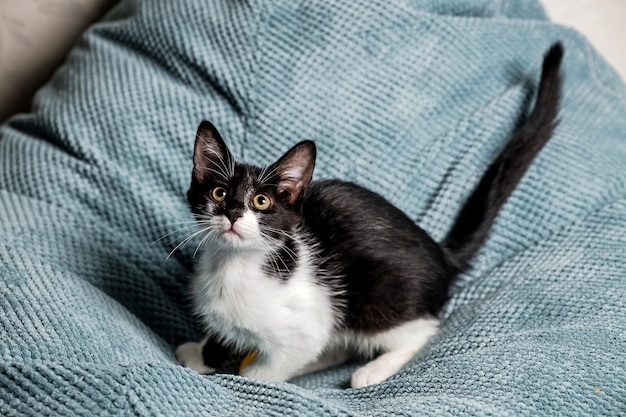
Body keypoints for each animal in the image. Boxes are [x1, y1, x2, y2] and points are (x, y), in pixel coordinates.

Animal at [174, 43, 560, 386]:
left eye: (261, 201)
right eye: (219, 193)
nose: (233, 214)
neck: (233, 267)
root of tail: (440, 251)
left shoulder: (307, 326)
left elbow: (269, 369)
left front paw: (246, 378)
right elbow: (220, 337)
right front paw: (201, 354)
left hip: (378, 300)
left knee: (420, 332)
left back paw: (371, 370)